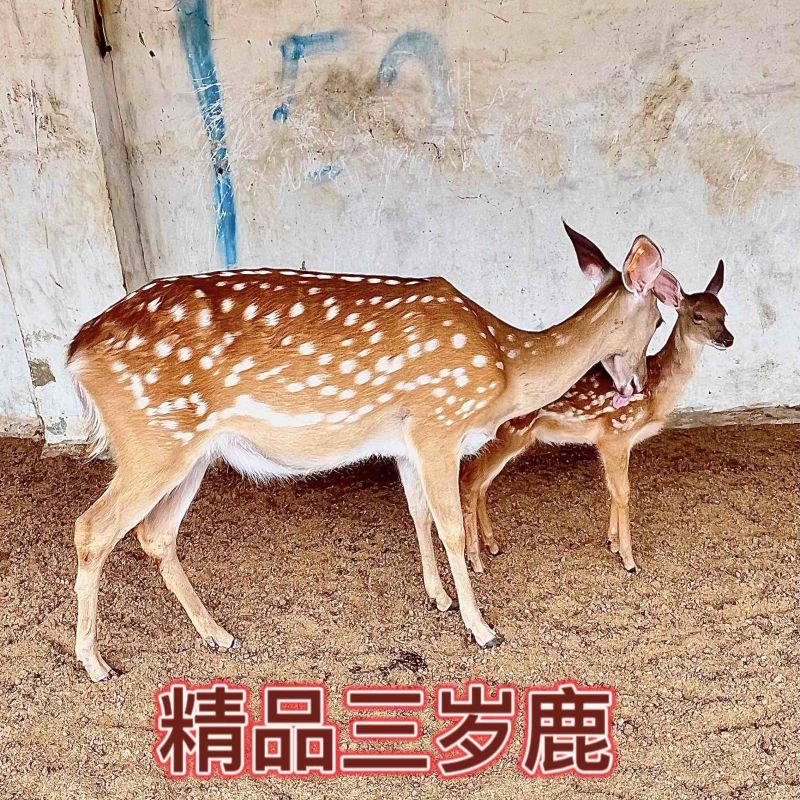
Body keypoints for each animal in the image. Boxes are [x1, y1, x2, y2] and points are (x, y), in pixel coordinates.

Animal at [67, 221, 679, 681]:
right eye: (659, 317)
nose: (638, 386)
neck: (505, 364)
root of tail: (76, 352)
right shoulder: (440, 421)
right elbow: (451, 526)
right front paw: (481, 628)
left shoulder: (406, 442)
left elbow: (418, 514)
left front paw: (438, 599)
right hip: (153, 438)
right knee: (93, 527)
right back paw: (96, 663)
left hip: (190, 450)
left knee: (154, 534)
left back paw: (219, 635)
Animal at [461, 260, 732, 576]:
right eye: (697, 315)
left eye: (724, 313)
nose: (728, 338)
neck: (655, 392)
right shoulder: (616, 432)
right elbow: (623, 493)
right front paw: (628, 559)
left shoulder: (616, 441)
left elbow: (613, 491)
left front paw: (612, 543)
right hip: (512, 433)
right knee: (470, 481)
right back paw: (476, 560)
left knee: (480, 484)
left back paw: (491, 546)